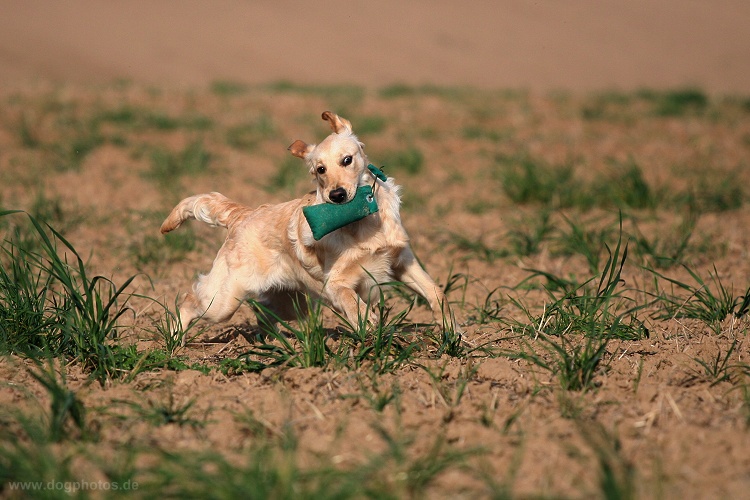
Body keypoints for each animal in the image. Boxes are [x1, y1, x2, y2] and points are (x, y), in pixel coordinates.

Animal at [162, 109, 450, 336]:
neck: (364, 224)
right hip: (223, 301)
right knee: (188, 300)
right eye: (320, 170)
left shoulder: (402, 260)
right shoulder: (335, 282)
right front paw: (369, 324)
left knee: (263, 314)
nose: (337, 195)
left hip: (290, 303)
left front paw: (450, 330)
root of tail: (243, 214)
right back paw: (175, 340)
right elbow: (353, 301)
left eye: (347, 160)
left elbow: (436, 292)